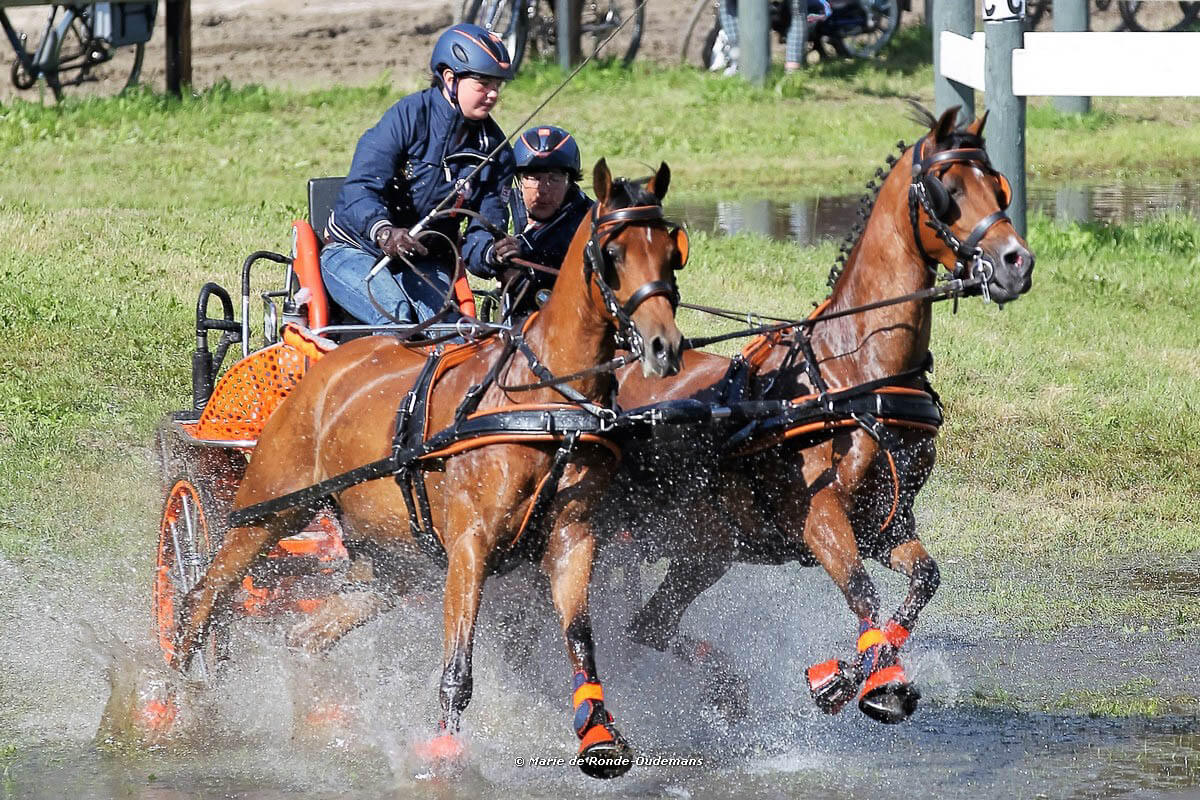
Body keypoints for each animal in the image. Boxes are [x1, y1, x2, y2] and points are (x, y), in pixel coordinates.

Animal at [168, 159, 688, 779]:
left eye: (672, 252)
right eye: (612, 253)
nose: (664, 347)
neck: (541, 401)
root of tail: (321, 368)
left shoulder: (571, 540)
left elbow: (582, 639)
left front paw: (600, 735)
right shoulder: (470, 543)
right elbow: (457, 669)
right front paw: (442, 757)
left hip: (386, 561)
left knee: (305, 635)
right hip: (267, 510)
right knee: (200, 598)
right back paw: (169, 704)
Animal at [612, 106, 1035, 725]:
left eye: (997, 184)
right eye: (948, 189)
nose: (1017, 262)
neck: (856, 372)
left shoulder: (886, 521)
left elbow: (923, 581)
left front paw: (846, 678)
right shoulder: (819, 517)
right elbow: (862, 590)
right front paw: (876, 682)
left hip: (702, 549)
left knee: (648, 626)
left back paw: (726, 688)